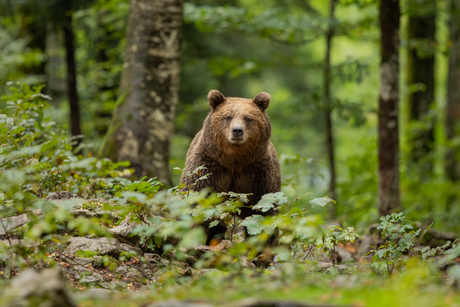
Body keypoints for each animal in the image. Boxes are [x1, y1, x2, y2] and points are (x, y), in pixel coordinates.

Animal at [181, 89, 282, 224]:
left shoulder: (258, 172)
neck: (234, 159)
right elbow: (198, 202)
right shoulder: (208, 167)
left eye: (248, 118)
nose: (237, 130)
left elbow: (264, 207)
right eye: (228, 117)